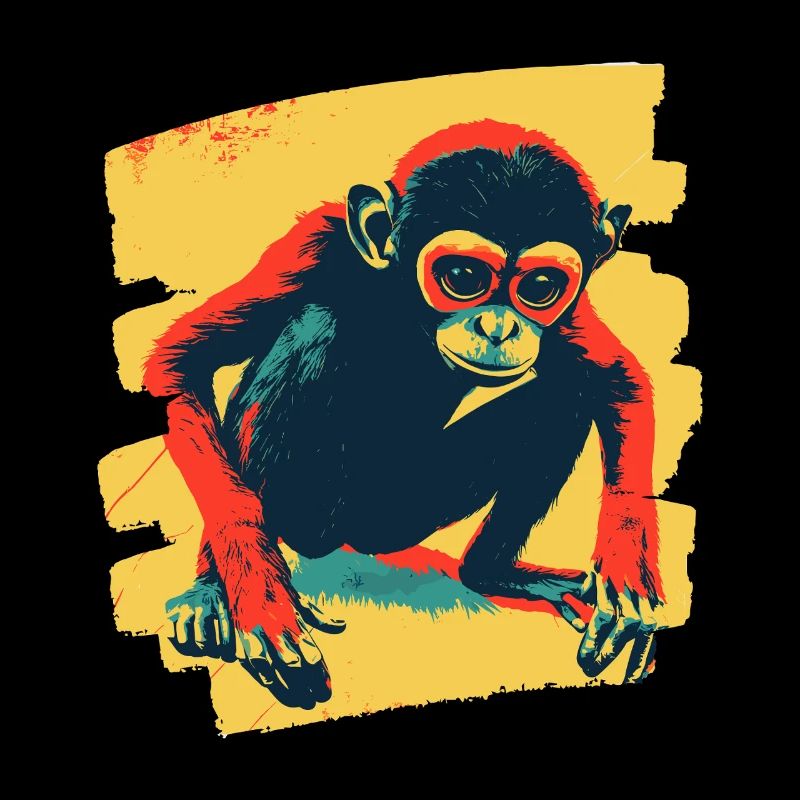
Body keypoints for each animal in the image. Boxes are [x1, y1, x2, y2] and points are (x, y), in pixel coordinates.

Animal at [145, 120, 665, 710]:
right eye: (462, 275)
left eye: (539, 288)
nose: (500, 327)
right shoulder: (311, 245)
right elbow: (181, 366)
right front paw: (257, 595)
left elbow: (617, 381)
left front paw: (626, 579)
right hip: (311, 516)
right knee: (315, 326)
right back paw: (215, 593)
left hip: (403, 514)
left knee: (562, 394)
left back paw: (491, 572)